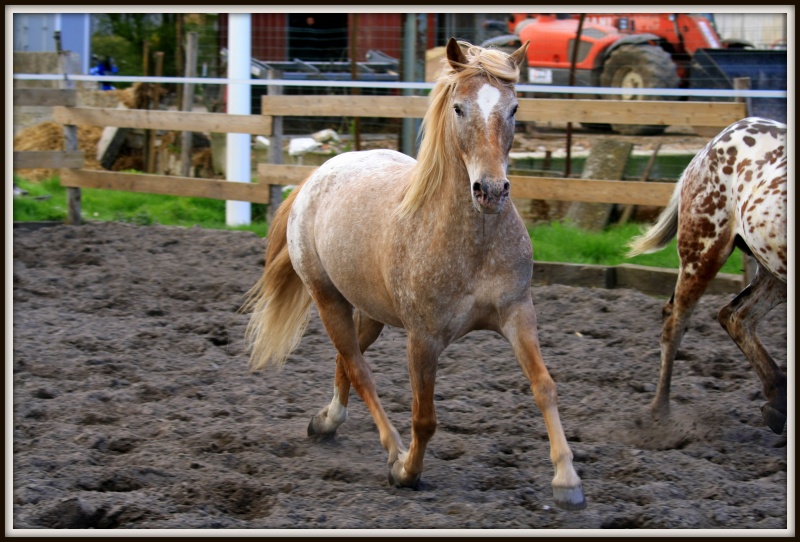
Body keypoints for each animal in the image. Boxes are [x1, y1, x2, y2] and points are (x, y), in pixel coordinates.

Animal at [244, 39, 588, 516]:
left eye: (515, 107)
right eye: (459, 108)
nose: (491, 191)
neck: (472, 243)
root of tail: (316, 176)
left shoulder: (518, 314)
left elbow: (544, 387)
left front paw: (566, 479)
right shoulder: (423, 339)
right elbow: (424, 418)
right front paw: (408, 471)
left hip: (370, 313)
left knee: (347, 362)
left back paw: (327, 422)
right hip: (329, 300)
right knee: (359, 369)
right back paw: (391, 451)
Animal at [628, 117, 792, 436]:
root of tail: (716, 141)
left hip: (772, 270)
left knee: (736, 316)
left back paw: (779, 402)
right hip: (703, 251)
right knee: (675, 321)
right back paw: (660, 418)